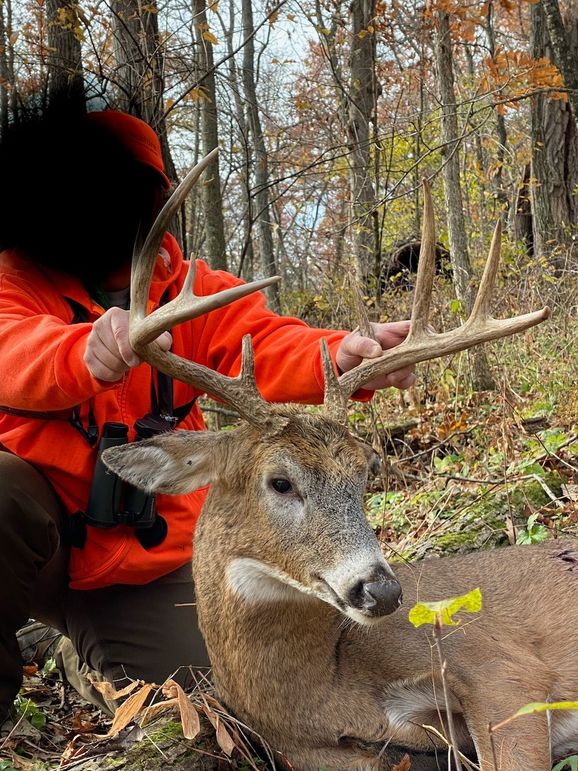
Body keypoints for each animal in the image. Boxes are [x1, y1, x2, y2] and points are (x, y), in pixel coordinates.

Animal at [102, 153, 578, 771]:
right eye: (280, 482)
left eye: (366, 471)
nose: (383, 592)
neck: (331, 681)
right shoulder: (320, 752)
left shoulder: (498, 664)